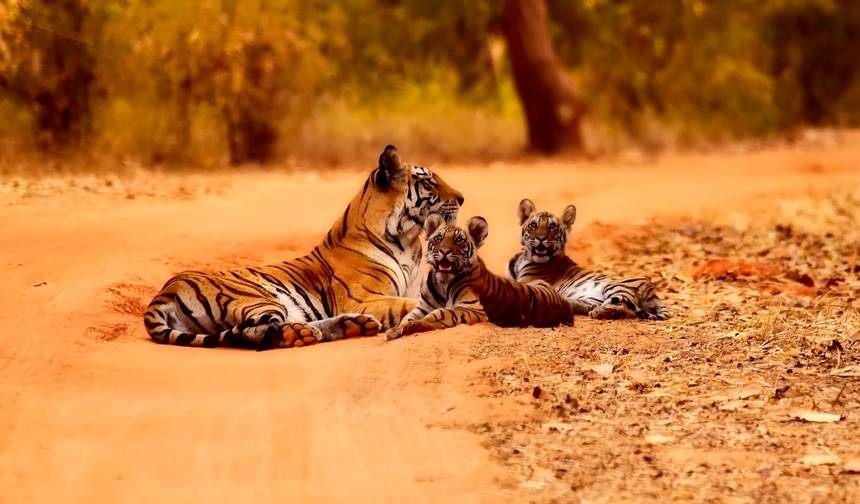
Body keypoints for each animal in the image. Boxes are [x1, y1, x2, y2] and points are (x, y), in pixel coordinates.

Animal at [144, 145, 464, 350]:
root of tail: (164, 292)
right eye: (429, 183)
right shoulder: (364, 298)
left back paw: (353, 326)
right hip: (256, 298)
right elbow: (409, 305)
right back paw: (305, 334)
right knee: (256, 333)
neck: (408, 241)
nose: (461, 198)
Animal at [384, 214, 575, 340]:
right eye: (438, 238)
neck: (442, 281)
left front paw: (410, 327)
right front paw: (397, 329)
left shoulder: (473, 308)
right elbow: (408, 317)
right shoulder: (422, 306)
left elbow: (440, 313)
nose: (444, 251)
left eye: (459, 240)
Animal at [507, 199, 670, 320]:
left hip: (614, 286)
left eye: (552, 226)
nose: (541, 238)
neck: (524, 257)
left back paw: (598, 312)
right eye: (533, 225)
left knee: (625, 308)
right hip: (593, 297)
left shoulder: (527, 282)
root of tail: (653, 291)